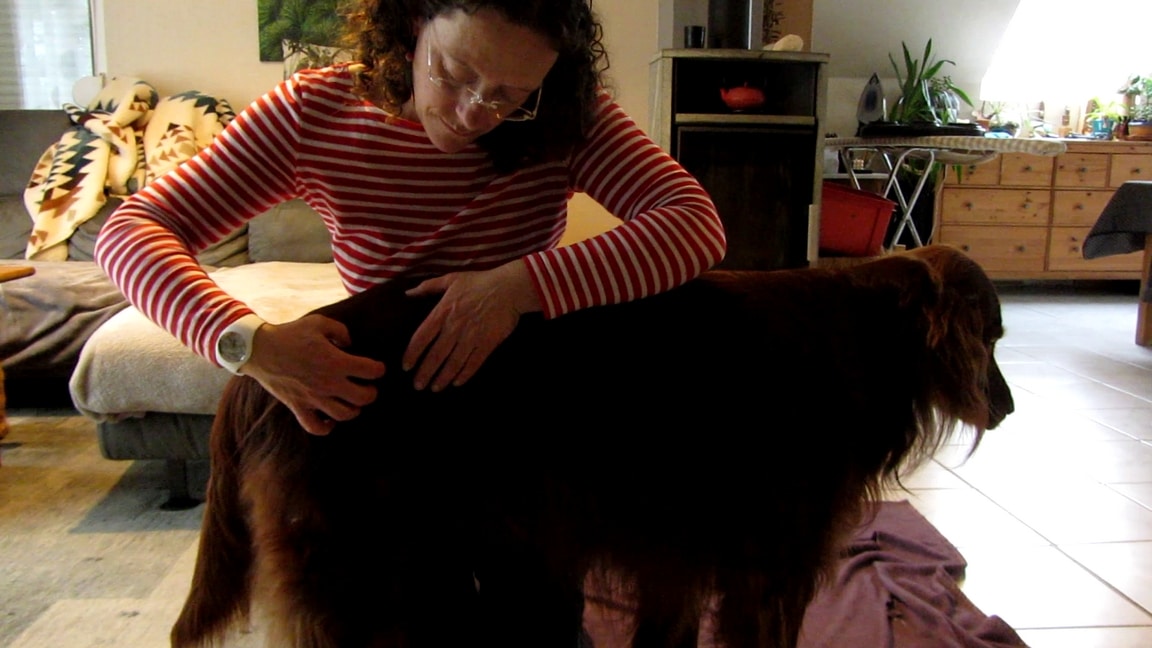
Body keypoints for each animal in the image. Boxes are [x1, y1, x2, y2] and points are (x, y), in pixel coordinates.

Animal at [172, 245, 1013, 648]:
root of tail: (277, 362)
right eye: (994, 335)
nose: (1006, 408)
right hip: (359, 567)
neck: (854, 341)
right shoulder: (773, 569)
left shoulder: (679, 562)